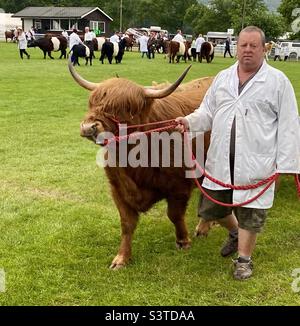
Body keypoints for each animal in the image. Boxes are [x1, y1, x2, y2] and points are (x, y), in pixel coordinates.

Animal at [68, 59, 213, 268]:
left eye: (126, 109)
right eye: (92, 102)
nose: (89, 127)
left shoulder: (179, 186)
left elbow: (175, 215)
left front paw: (183, 241)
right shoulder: (118, 189)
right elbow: (126, 224)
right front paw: (121, 258)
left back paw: (203, 227)